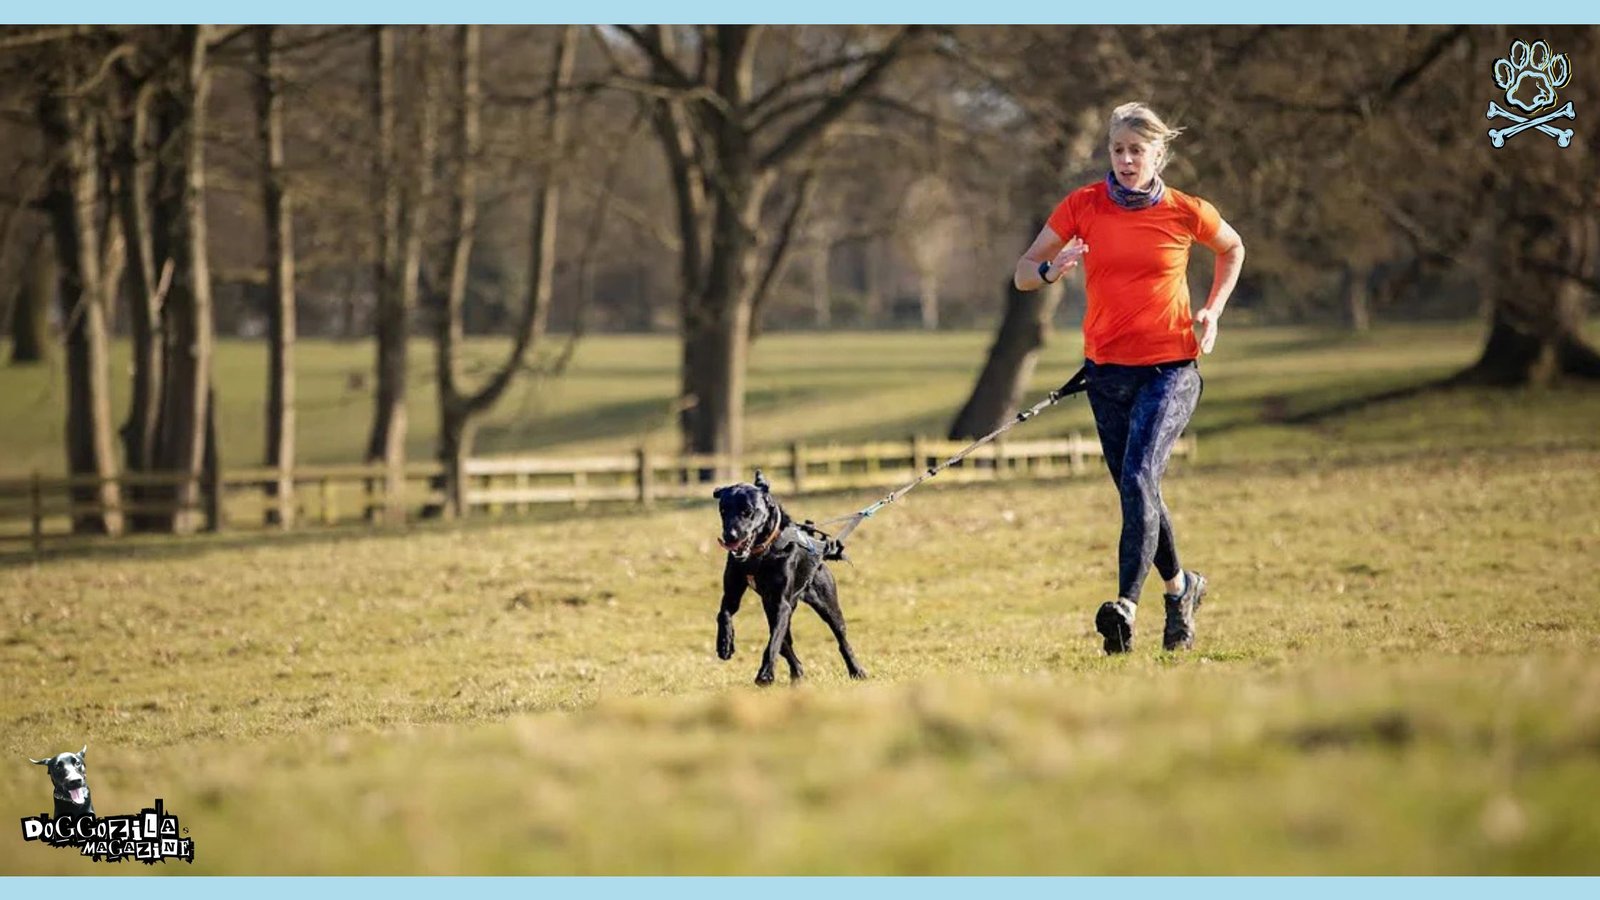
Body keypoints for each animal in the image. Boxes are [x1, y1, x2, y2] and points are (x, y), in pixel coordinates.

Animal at [713, 464, 864, 682]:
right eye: (723, 510)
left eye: (747, 511)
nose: (729, 536)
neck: (760, 554)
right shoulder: (734, 595)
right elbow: (723, 614)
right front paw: (725, 644)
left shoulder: (780, 604)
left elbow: (773, 643)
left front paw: (765, 674)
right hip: (774, 607)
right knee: (785, 643)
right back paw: (797, 672)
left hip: (827, 604)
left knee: (841, 639)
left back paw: (856, 670)